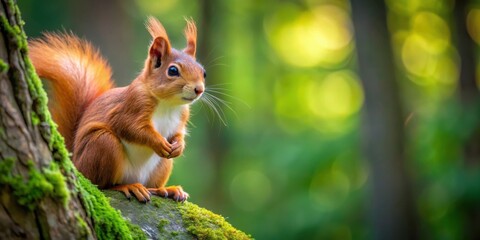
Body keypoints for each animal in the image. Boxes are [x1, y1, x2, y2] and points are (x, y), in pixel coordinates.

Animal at [28, 16, 204, 202]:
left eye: (203, 72)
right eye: (172, 70)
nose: (199, 89)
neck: (168, 104)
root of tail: (76, 163)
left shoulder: (181, 117)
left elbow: (178, 134)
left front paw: (179, 146)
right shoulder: (132, 105)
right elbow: (131, 128)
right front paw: (158, 142)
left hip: (162, 165)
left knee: (152, 185)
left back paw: (167, 190)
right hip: (103, 145)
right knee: (104, 185)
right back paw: (129, 187)